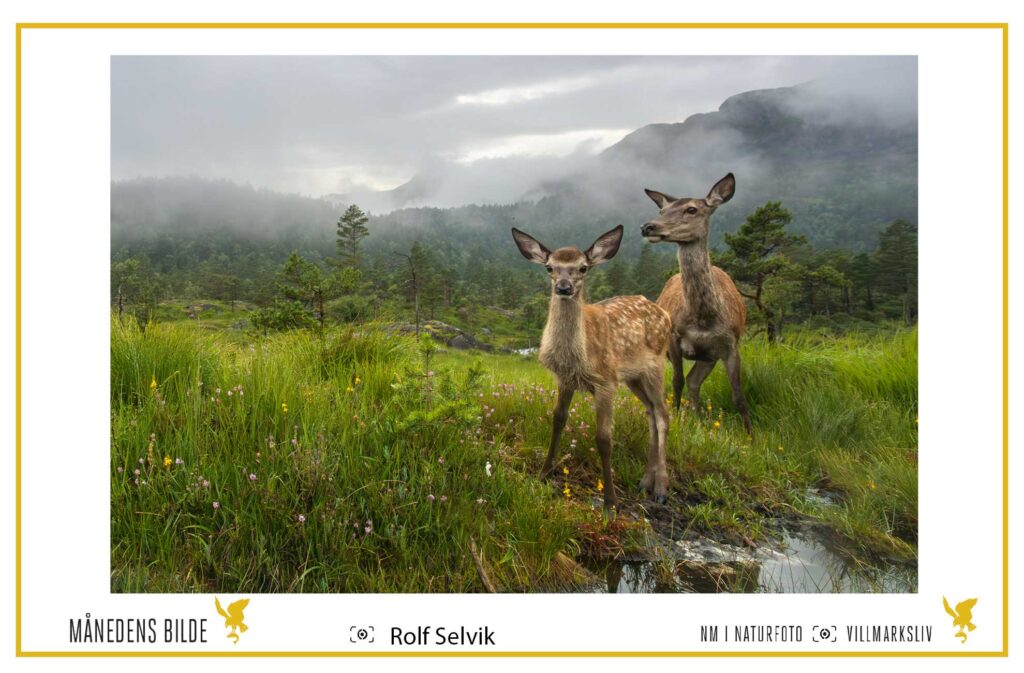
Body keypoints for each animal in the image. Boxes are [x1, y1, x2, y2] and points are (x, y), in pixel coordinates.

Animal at [512, 225, 671, 510]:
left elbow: (604, 439)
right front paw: (543, 473)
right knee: (651, 412)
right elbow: (558, 420)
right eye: (550, 267)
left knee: (663, 414)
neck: (577, 357)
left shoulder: (606, 380)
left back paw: (661, 487)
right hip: (634, 376)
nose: (563, 288)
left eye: (583, 267)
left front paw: (611, 501)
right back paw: (645, 481)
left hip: (656, 364)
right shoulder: (565, 380)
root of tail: (666, 314)